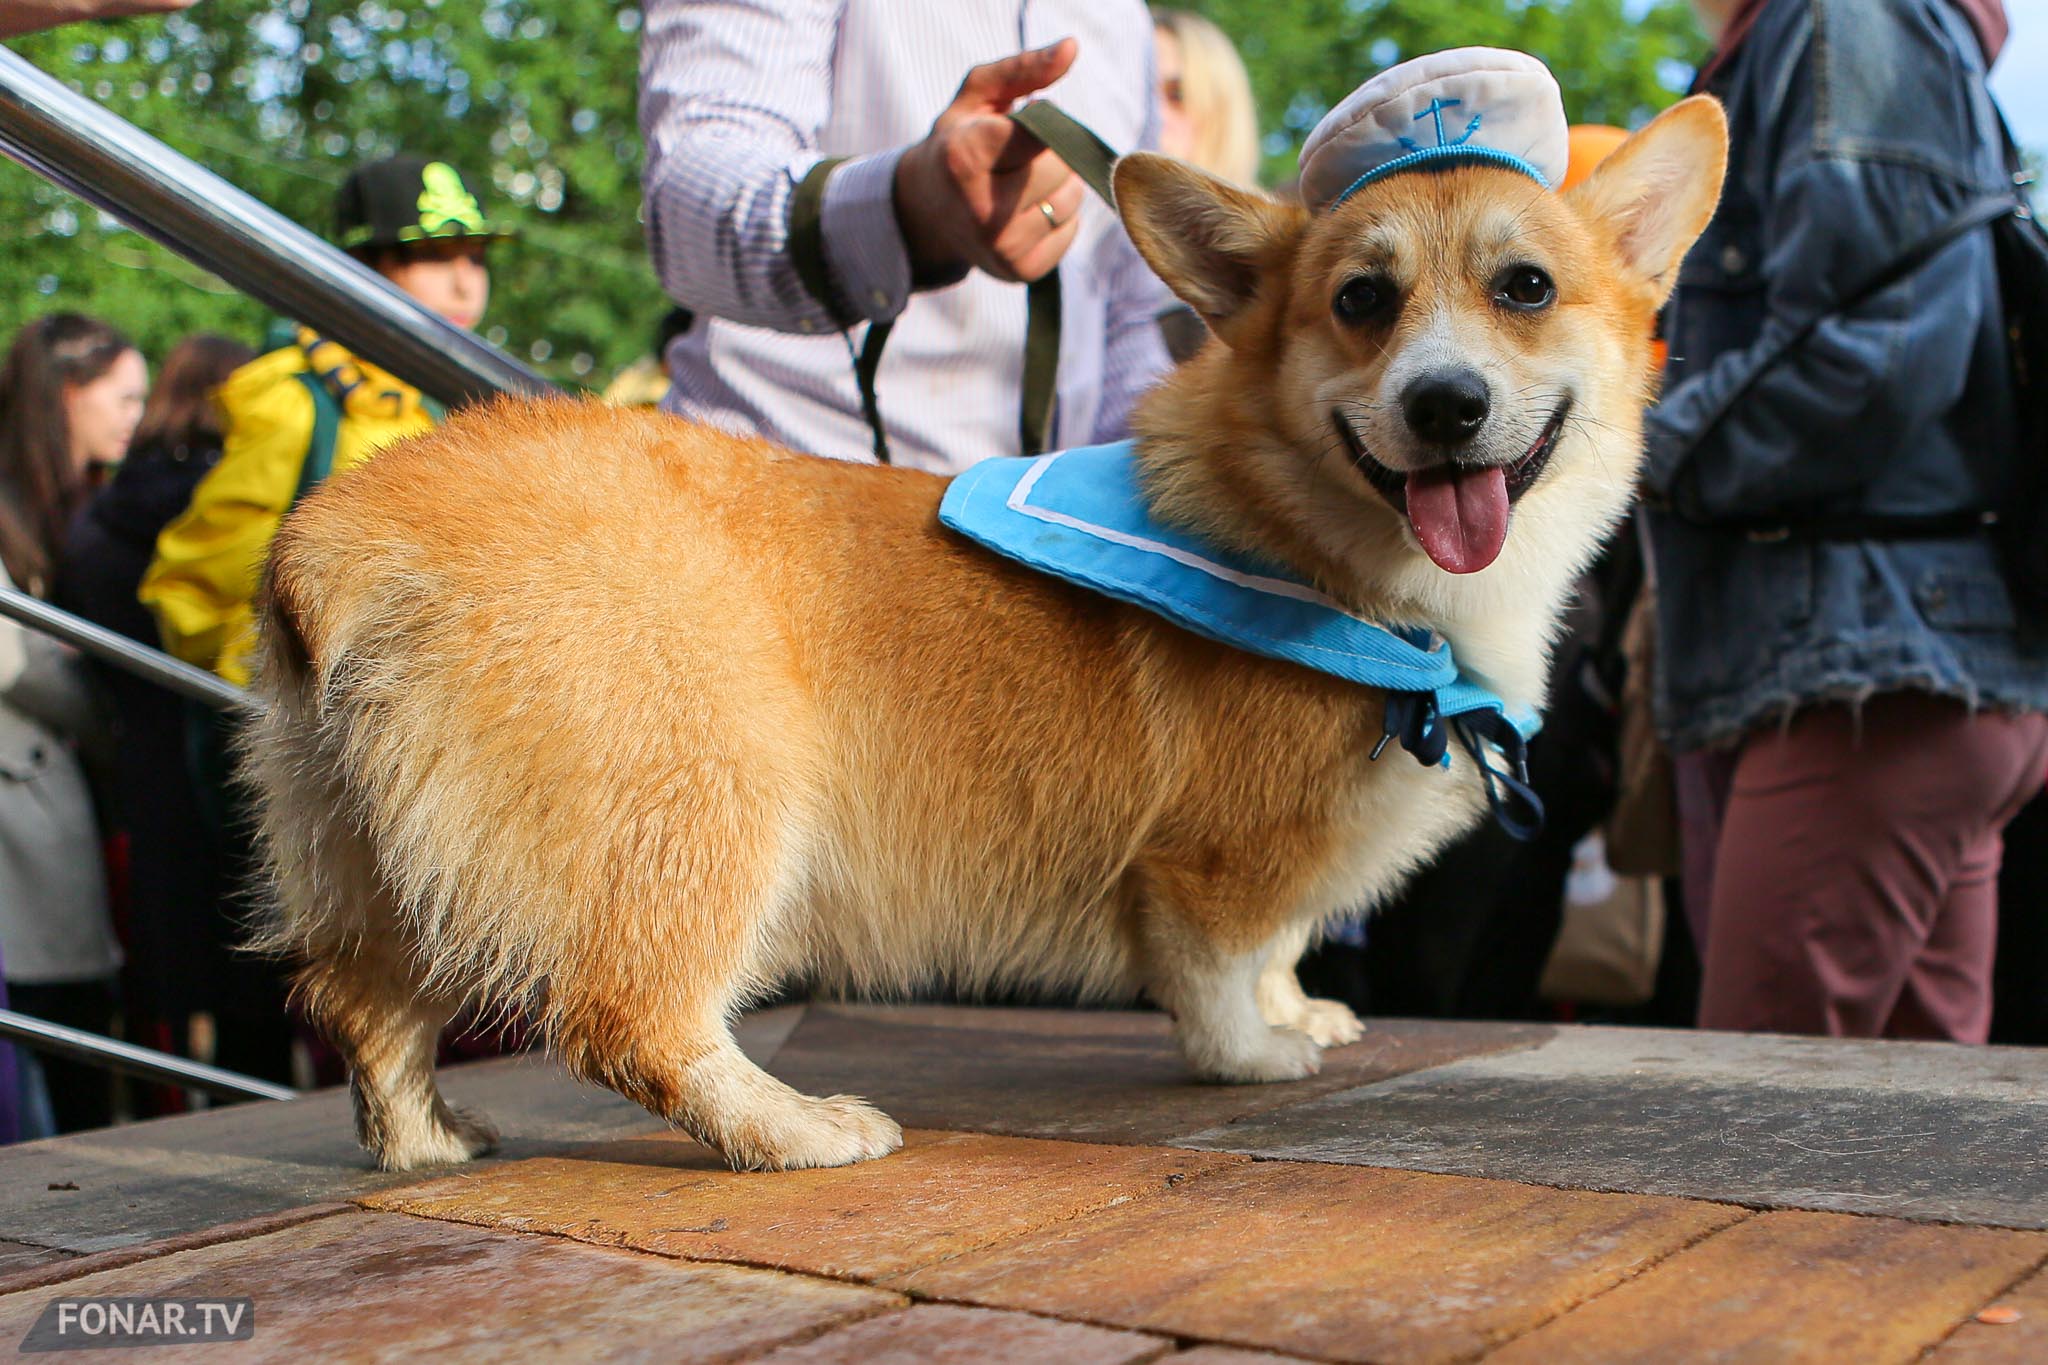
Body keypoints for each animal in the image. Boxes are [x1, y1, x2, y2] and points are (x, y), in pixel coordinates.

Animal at [243, 93, 1728, 1178]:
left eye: (1525, 288)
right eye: (1360, 302)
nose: (1443, 406)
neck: (1314, 539)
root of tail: (345, 536)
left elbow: (1284, 948)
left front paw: (1302, 1008)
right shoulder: (1211, 860)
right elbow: (1223, 963)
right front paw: (1255, 1053)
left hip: (384, 856)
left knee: (364, 1006)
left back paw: (429, 1143)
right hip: (704, 806)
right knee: (632, 1020)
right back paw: (800, 1130)